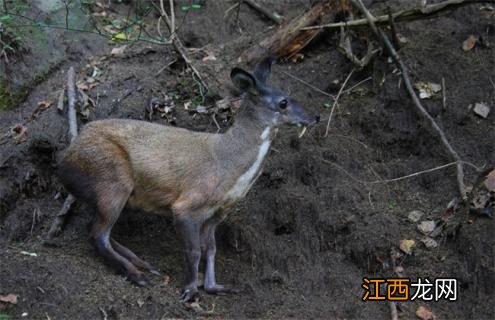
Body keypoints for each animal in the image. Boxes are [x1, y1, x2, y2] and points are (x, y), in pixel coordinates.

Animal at [58, 58, 320, 302]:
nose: (316, 116)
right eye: (283, 102)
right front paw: (190, 291)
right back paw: (137, 275)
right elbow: (193, 250)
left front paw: (215, 286)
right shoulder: (188, 204)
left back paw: (143, 264)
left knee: (97, 228)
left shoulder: (217, 213)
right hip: (112, 178)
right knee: (98, 234)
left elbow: (211, 249)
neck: (229, 167)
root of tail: (65, 159)